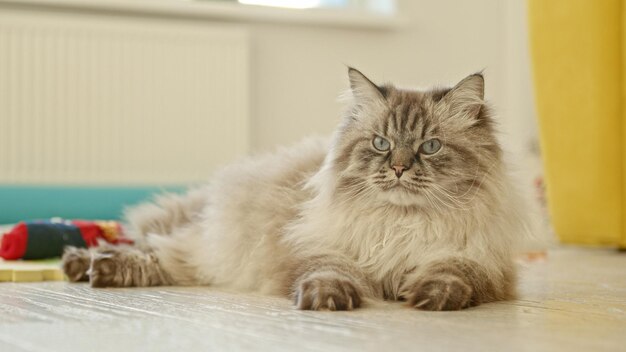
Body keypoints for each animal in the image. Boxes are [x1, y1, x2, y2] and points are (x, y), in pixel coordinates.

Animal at [62, 69, 528, 310]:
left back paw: (88, 266)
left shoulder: (477, 260)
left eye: (430, 147)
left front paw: (429, 297)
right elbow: (328, 273)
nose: (397, 168)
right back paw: (86, 264)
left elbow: (451, 276)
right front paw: (327, 300)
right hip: (211, 244)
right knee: (153, 249)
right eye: (381, 143)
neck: (398, 223)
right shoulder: (318, 247)